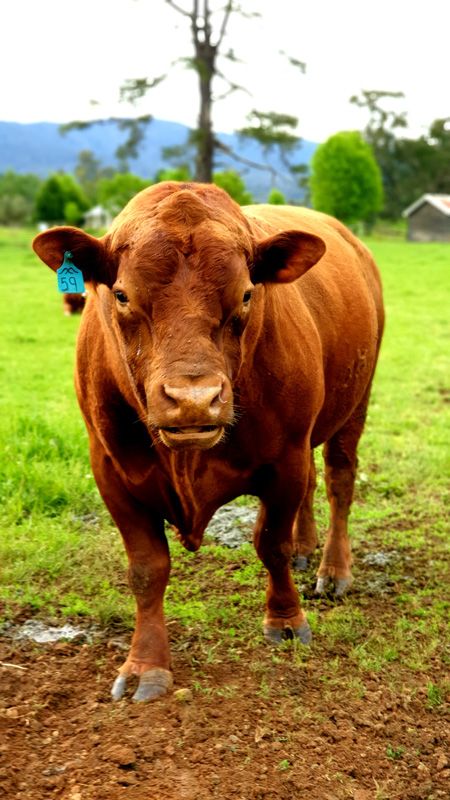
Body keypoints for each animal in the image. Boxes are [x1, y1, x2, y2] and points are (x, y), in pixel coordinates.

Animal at [33, 181, 384, 703]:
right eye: (121, 294)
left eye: (246, 293)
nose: (194, 399)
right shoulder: (111, 470)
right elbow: (147, 569)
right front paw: (145, 664)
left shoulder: (285, 459)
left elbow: (270, 543)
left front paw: (286, 620)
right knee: (315, 487)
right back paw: (306, 549)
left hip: (354, 404)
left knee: (340, 481)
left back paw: (333, 569)